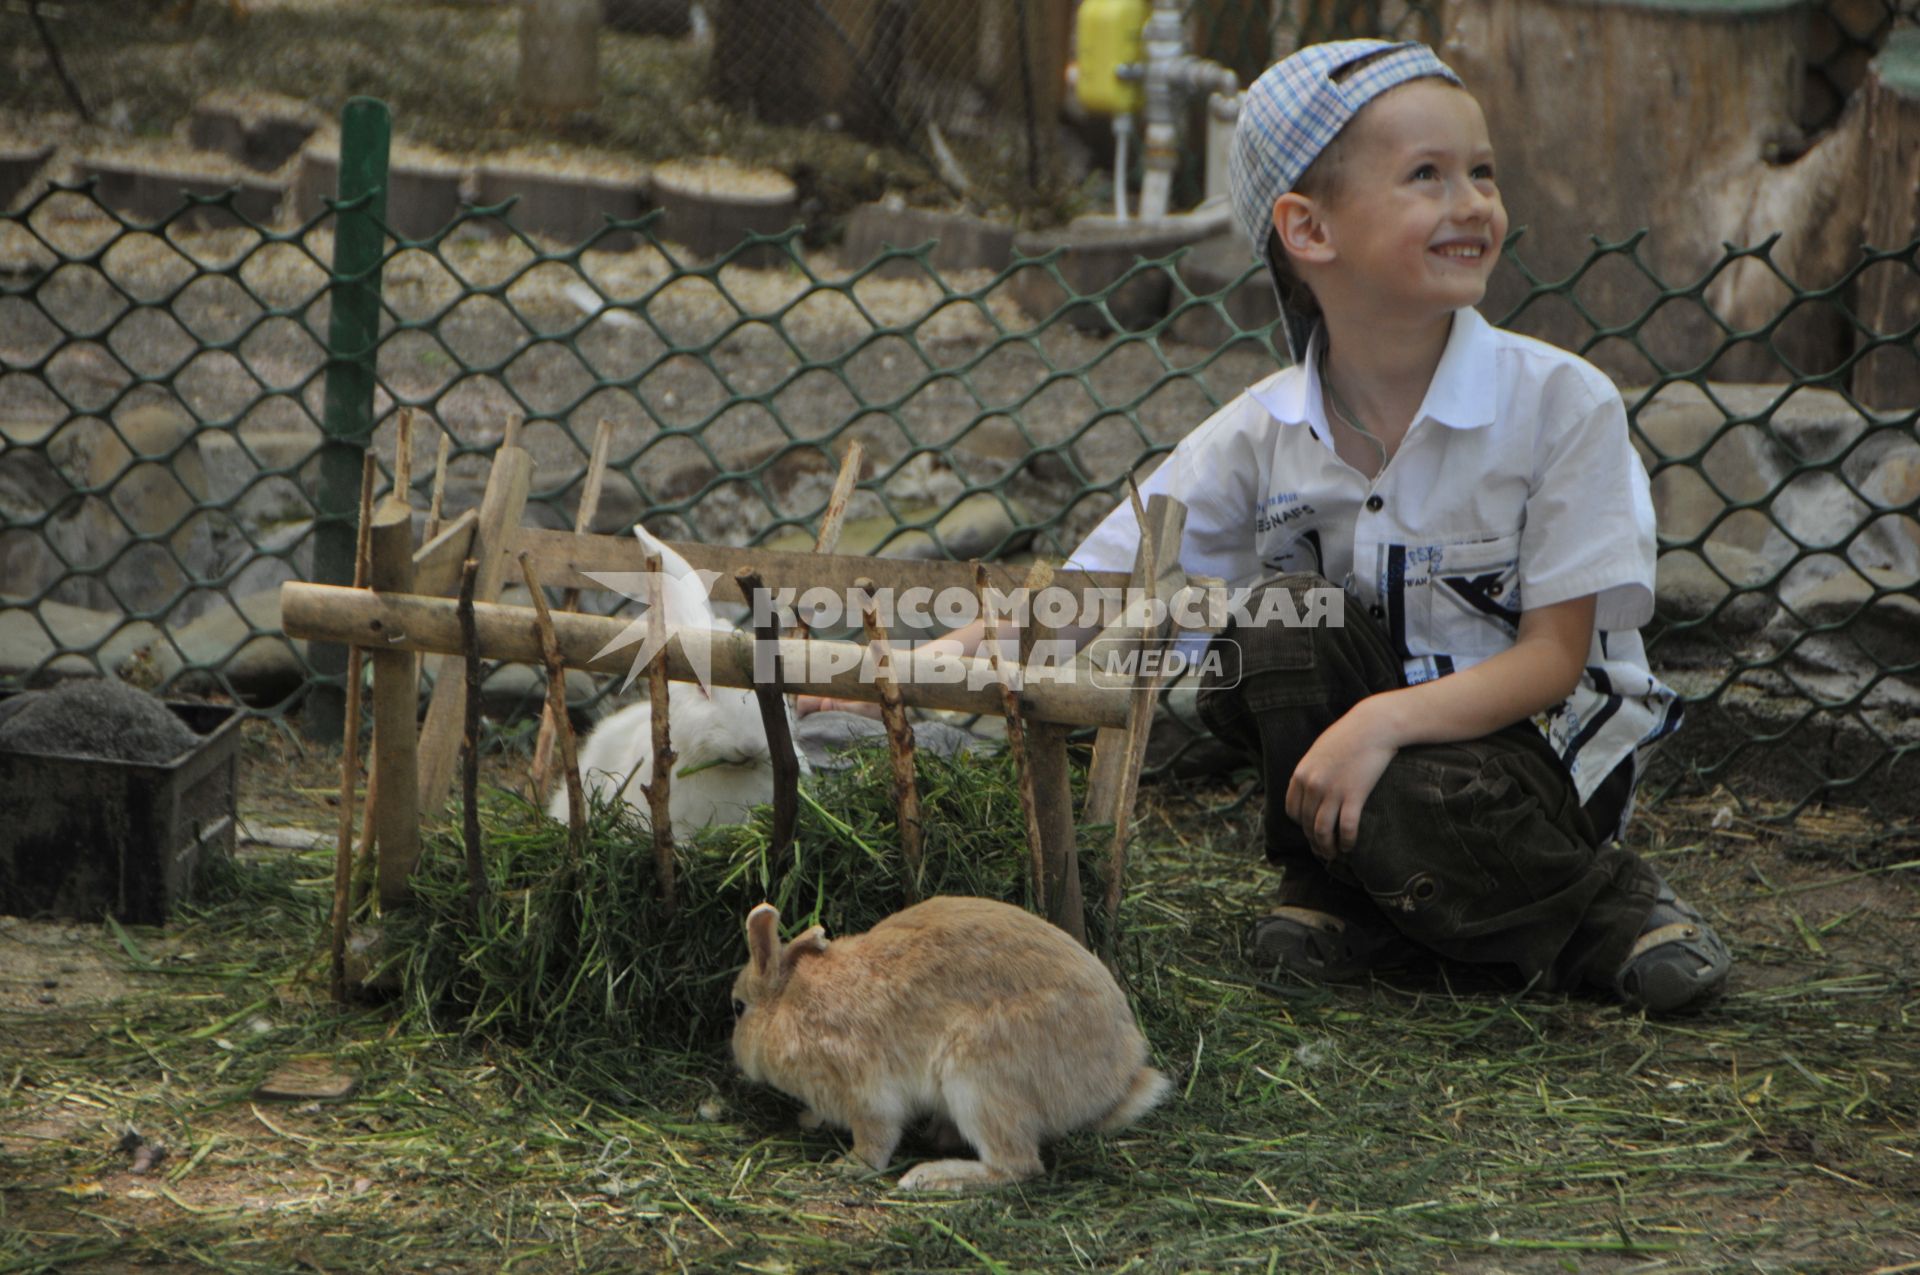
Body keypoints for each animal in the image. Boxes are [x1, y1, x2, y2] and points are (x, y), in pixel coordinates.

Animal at [725, 890, 1159, 1190]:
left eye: (738, 1007)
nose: (737, 1058)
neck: (789, 1005)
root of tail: (1120, 1079)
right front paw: (809, 1119)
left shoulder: (868, 1095)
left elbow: (876, 1141)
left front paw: (848, 1166)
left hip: (978, 1079)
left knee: (1017, 1165)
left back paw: (930, 1178)